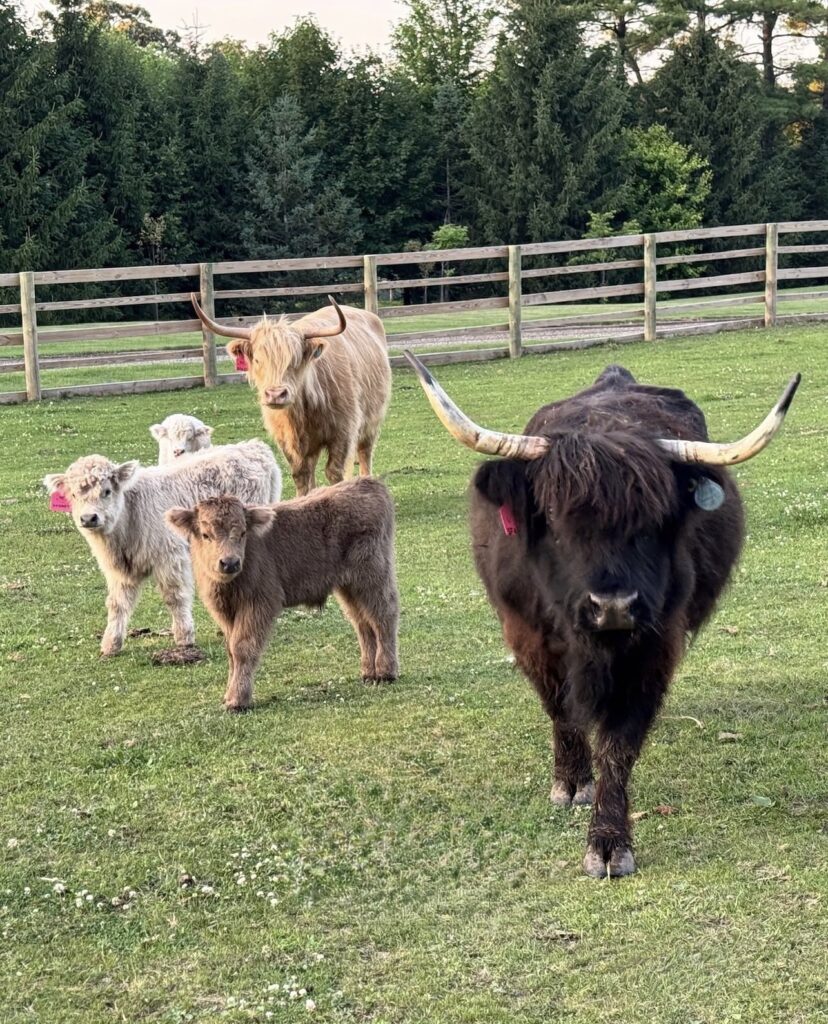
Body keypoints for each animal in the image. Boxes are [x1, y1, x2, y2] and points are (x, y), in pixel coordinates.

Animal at [43, 441, 282, 658]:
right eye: (74, 495)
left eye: (107, 491)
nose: (88, 518)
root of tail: (254, 447)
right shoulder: (118, 571)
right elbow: (117, 603)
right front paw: (111, 644)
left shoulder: (170, 555)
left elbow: (174, 597)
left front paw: (185, 637)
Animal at [166, 478, 399, 711]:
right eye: (206, 535)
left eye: (242, 533)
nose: (229, 563)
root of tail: (368, 483)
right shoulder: (224, 611)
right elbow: (231, 651)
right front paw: (228, 696)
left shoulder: (259, 602)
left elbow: (242, 647)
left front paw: (237, 700)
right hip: (349, 586)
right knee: (362, 622)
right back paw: (369, 673)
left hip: (372, 576)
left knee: (383, 615)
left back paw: (385, 672)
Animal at [191, 294, 391, 496]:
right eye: (258, 360)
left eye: (294, 360)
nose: (275, 394)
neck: (303, 409)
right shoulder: (286, 439)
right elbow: (300, 474)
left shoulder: (343, 431)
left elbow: (335, 472)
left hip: (372, 419)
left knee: (365, 452)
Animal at [404, 351, 800, 878]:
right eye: (553, 515)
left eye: (657, 517)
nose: (612, 606)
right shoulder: (527, 633)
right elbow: (561, 710)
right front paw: (571, 783)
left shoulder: (655, 644)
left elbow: (619, 741)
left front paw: (609, 842)